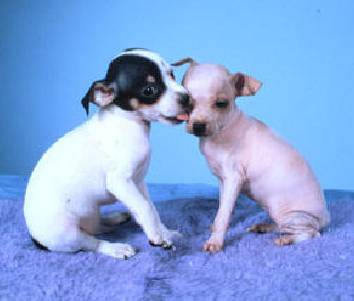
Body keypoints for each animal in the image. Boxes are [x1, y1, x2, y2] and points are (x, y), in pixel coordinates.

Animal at [24, 49, 191, 258]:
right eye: (149, 90)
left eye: (172, 75)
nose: (187, 98)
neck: (129, 123)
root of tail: (35, 238)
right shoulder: (120, 182)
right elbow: (145, 208)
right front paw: (157, 236)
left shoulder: (138, 182)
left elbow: (151, 208)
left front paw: (165, 233)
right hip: (68, 234)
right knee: (92, 242)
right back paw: (117, 248)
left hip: (91, 211)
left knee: (97, 227)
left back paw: (116, 218)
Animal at [173, 58, 330, 251]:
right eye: (187, 102)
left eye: (221, 104)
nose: (198, 126)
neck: (220, 131)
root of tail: (326, 217)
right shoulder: (223, 181)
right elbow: (222, 207)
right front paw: (214, 226)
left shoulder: (233, 178)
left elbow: (223, 215)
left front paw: (215, 241)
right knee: (282, 226)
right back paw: (265, 226)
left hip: (295, 217)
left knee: (312, 234)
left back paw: (287, 239)